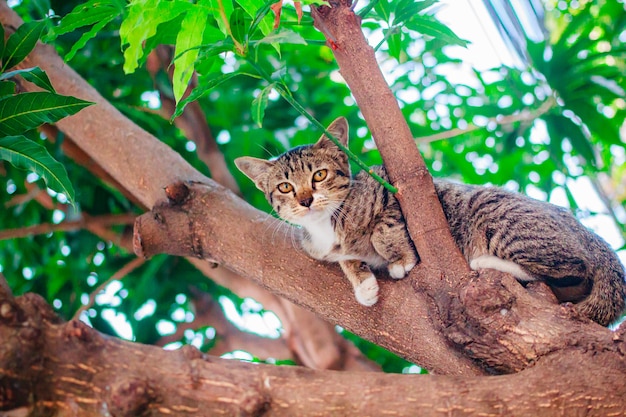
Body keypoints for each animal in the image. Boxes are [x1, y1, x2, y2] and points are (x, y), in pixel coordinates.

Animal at [235, 116, 624, 324]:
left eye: (319, 175)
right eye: (285, 187)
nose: (305, 199)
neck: (328, 224)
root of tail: (590, 235)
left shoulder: (391, 190)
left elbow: (384, 228)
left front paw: (398, 259)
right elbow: (345, 258)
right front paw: (363, 283)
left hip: (498, 216)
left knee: (572, 267)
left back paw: (488, 261)